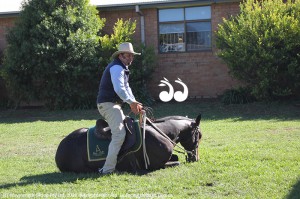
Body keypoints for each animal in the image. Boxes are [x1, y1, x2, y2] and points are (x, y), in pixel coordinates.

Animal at [55, 114, 203, 173]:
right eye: (199, 136)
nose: (195, 158)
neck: (161, 132)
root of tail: (60, 149)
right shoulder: (155, 165)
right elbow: (177, 162)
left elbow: (176, 157)